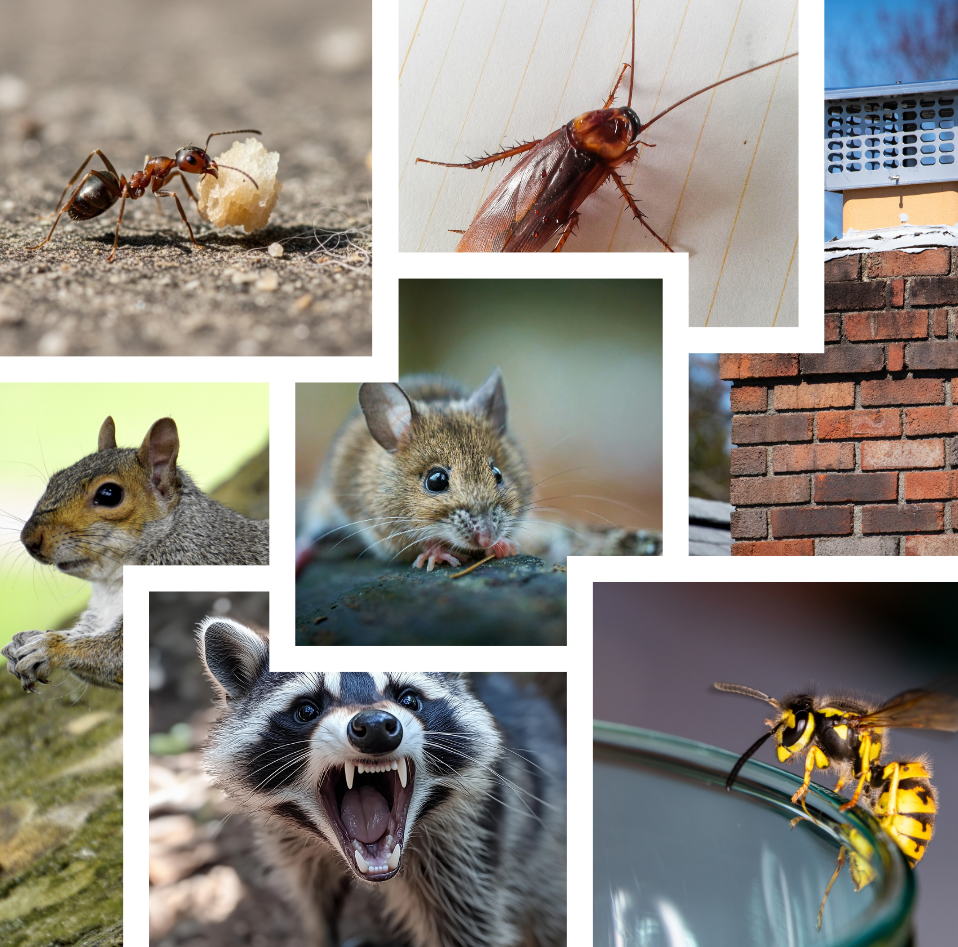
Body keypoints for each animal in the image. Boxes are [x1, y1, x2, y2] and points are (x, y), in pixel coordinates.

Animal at [2, 415, 269, 692]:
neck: (112, 584)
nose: (28, 539)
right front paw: (28, 638)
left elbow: (116, 652)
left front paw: (51, 647)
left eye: (109, 494)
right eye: (55, 479)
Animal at [198, 618, 567, 947]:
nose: (375, 726)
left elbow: (471, 928)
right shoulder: (291, 847)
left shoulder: (470, 847)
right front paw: (321, 934)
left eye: (409, 699)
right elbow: (315, 907)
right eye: (307, 710)